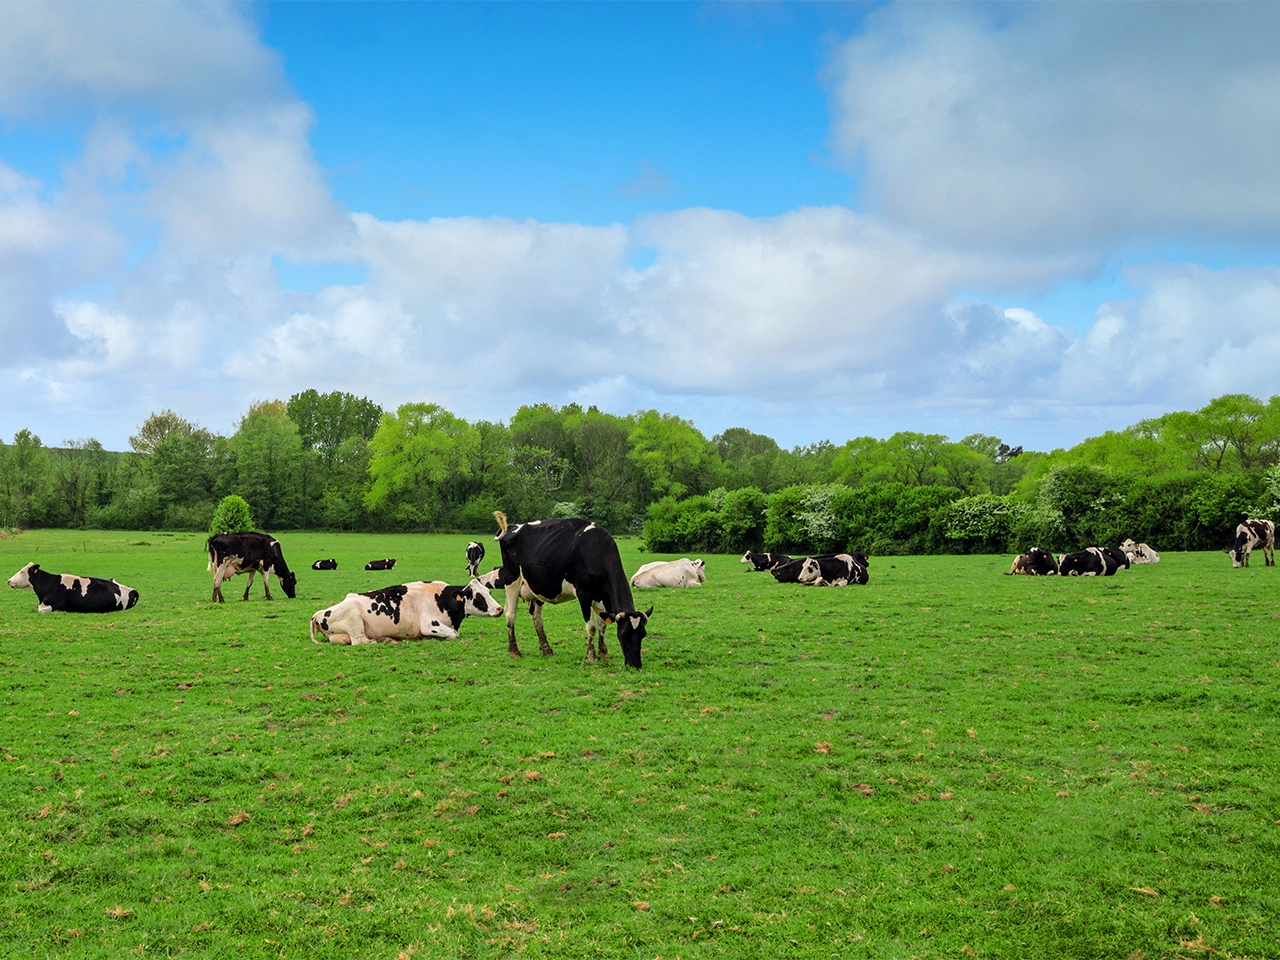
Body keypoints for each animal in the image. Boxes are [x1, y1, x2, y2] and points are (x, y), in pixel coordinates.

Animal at [309, 578, 504, 647]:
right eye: (478, 596)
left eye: (489, 592)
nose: (500, 609)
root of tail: (319, 613)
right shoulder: (429, 625)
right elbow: (454, 635)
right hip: (354, 620)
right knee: (360, 641)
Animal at [488, 512, 650, 670]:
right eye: (623, 634)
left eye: (643, 634)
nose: (636, 664)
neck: (595, 550)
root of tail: (513, 526)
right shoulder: (584, 595)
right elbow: (591, 627)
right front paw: (591, 656)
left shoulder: (601, 597)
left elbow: (602, 624)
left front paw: (604, 654)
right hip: (512, 580)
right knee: (510, 614)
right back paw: (515, 651)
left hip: (537, 588)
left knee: (536, 617)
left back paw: (546, 649)